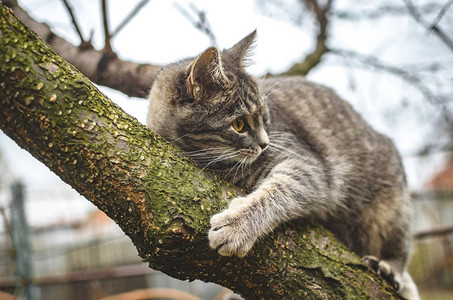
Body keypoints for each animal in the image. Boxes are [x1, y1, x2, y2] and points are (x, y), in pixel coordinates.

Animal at [147, 30, 418, 300]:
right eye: (239, 125)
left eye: (265, 117)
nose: (265, 143)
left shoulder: (309, 167)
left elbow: (279, 190)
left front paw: (236, 225)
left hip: (391, 209)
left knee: (400, 253)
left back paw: (389, 269)